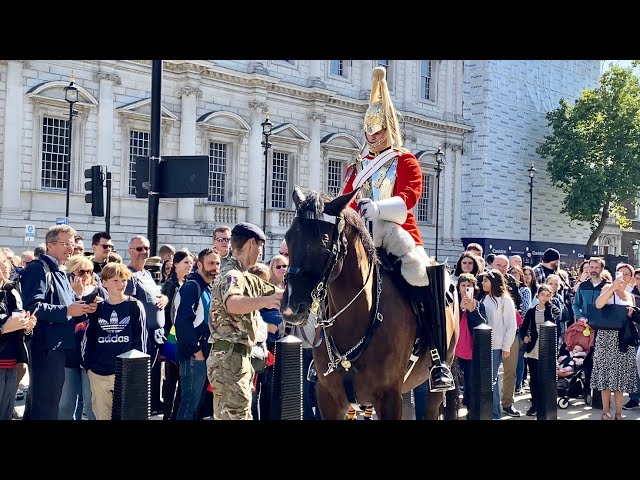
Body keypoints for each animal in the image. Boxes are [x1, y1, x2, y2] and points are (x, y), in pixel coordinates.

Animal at [282, 186, 460, 418]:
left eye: (323, 243)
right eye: (288, 237)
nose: (290, 308)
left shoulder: (389, 398)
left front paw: (371, 208)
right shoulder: (328, 398)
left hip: (435, 383)